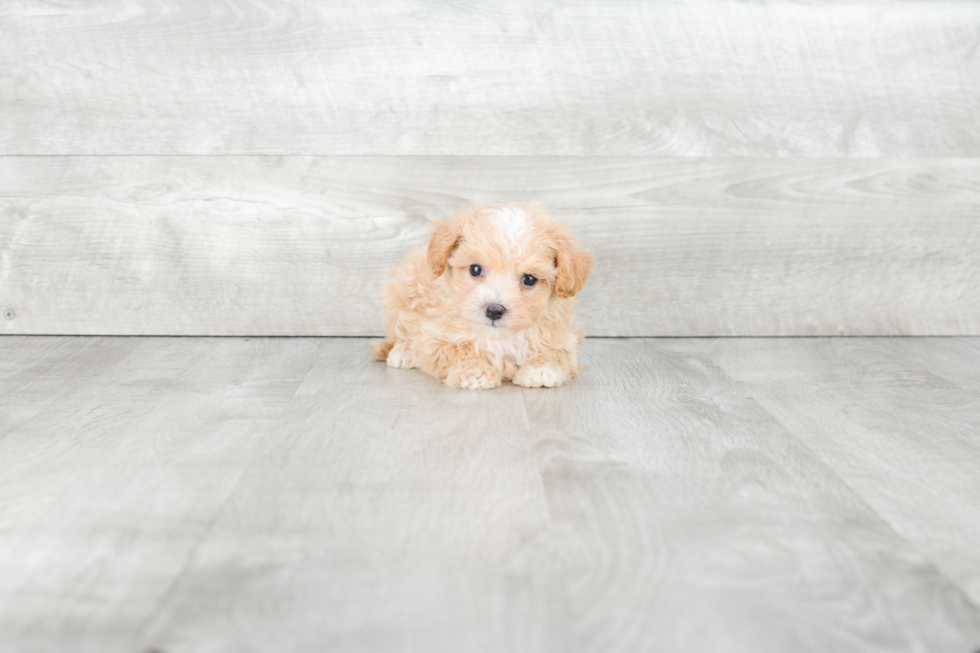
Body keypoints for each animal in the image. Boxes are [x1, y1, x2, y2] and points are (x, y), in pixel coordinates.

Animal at [370, 204, 592, 388]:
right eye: (475, 269)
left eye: (529, 279)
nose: (494, 310)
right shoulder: (436, 336)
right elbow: (458, 351)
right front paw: (474, 372)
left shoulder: (561, 338)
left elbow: (554, 352)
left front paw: (541, 369)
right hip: (401, 291)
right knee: (401, 331)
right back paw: (403, 353)